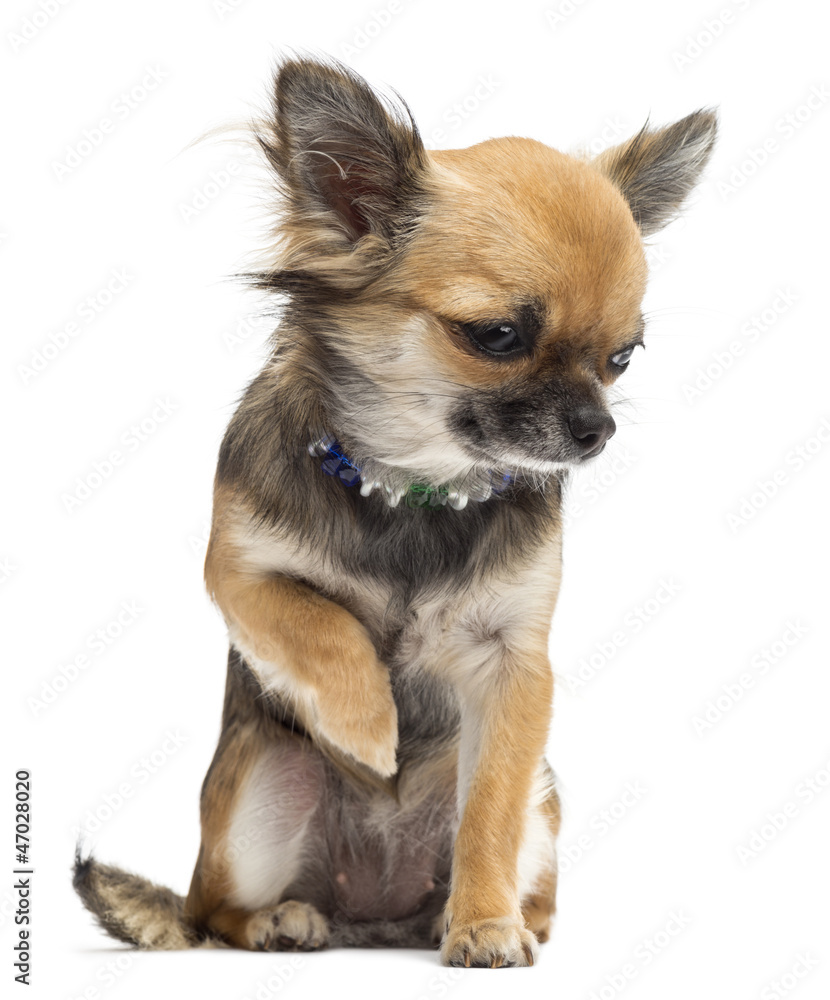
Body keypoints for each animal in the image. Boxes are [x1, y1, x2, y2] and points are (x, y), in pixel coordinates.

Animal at [74, 57, 716, 968]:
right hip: (257, 789)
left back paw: (508, 917)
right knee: (214, 911)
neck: (419, 483)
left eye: (622, 358)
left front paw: (485, 925)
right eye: (497, 336)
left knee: (517, 862)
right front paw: (369, 727)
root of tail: (372, 916)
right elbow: (319, 624)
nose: (598, 429)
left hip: (544, 794)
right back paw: (280, 921)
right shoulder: (238, 576)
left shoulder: (515, 670)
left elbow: (488, 817)